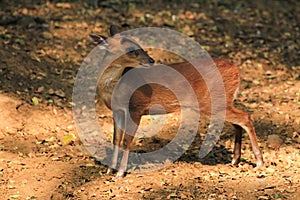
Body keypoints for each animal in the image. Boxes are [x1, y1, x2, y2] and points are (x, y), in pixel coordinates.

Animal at [91, 25, 262, 178]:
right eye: (132, 50)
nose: (151, 60)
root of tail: (235, 69)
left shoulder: (136, 107)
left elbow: (126, 141)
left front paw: (120, 173)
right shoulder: (118, 111)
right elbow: (116, 140)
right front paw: (109, 171)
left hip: (214, 101)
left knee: (245, 117)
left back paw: (259, 161)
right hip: (223, 102)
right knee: (238, 122)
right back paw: (235, 160)